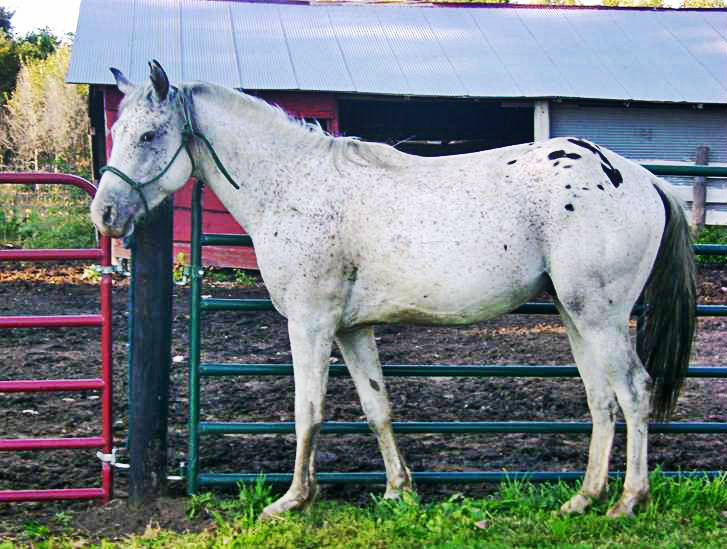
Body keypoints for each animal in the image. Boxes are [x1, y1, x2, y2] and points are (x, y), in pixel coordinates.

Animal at [92, 62, 700, 516]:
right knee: (602, 399)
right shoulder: (352, 330)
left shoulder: (310, 324)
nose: (105, 215)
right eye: (117, 132)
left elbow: (307, 409)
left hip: (600, 316)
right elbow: (376, 407)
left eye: (149, 135)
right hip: (577, 317)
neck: (296, 186)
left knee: (634, 392)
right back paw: (583, 498)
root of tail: (643, 178)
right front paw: (397, 491)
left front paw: (293, 500)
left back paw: (628, 501)